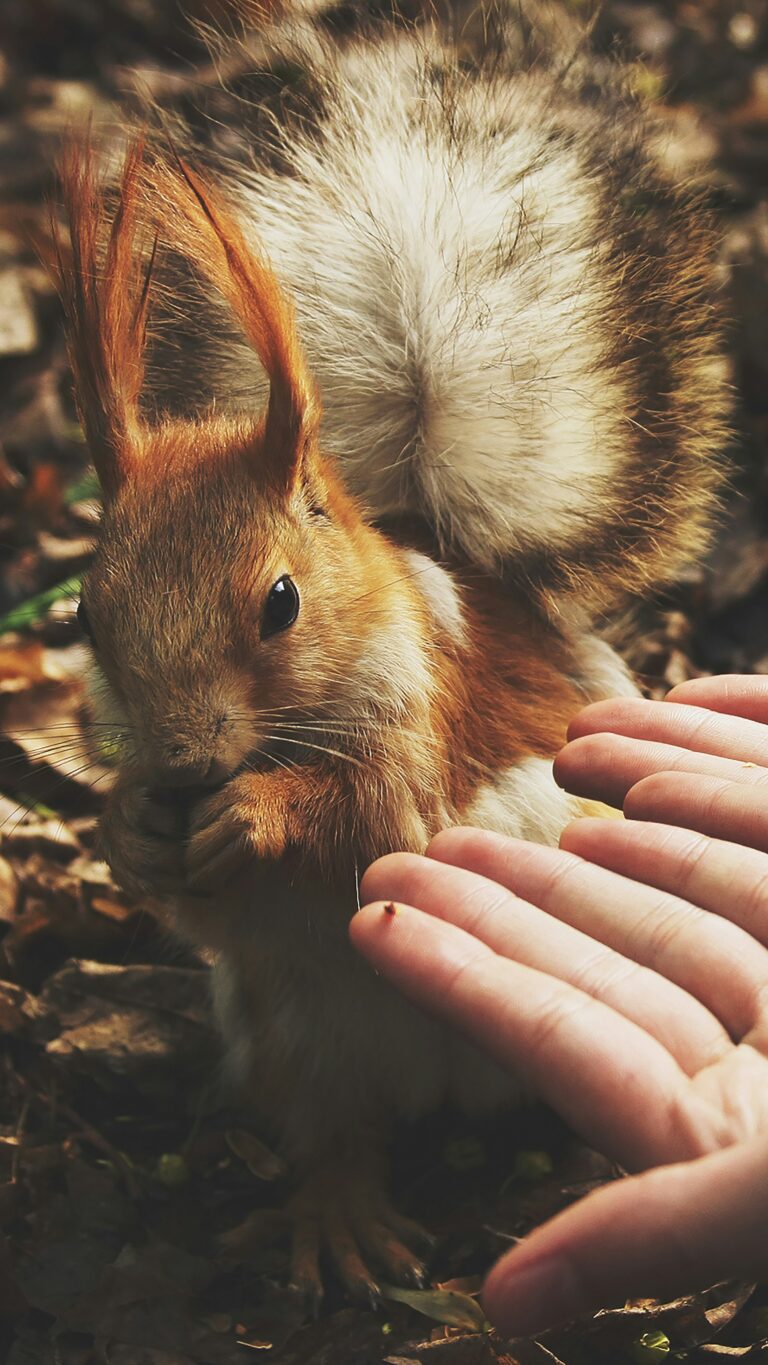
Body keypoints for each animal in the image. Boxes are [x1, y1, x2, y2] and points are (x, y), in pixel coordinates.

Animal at [52, 2, 725, 1310]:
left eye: (279, 601)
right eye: (84, 618)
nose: (182, 764)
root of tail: (449, 1085)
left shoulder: (427, 714)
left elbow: (383, 812)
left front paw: (259, 813)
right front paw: (133, 828)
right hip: (298, 1038)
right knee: (336, 1132)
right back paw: (340, 1217)